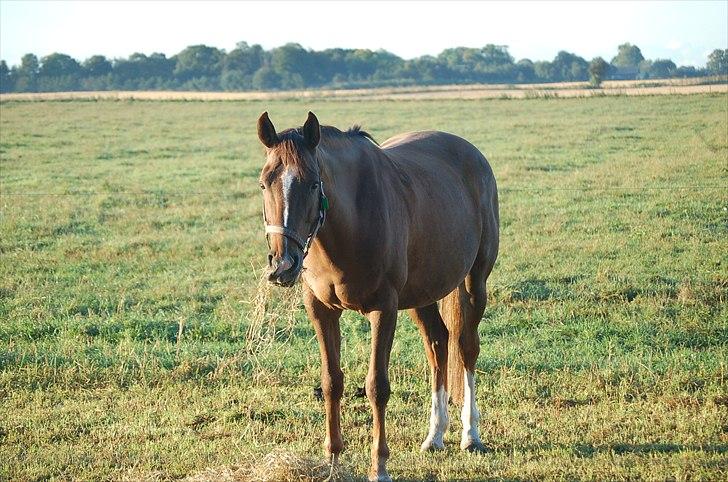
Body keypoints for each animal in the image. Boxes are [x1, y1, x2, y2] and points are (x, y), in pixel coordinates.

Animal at [258, 111, 500, 480]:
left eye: (312, 183)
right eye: (264, 184)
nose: (283, 264)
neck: (352, 222)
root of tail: (472, 154)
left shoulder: (383, 309)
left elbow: (377, 387)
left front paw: (379, 466)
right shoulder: (320, 310)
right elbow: (331, 382)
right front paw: (333, 460)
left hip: (475, 281)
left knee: (466, 346)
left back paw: (470, 435)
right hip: (421, 296)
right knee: (438, 345)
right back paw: (435, 435)